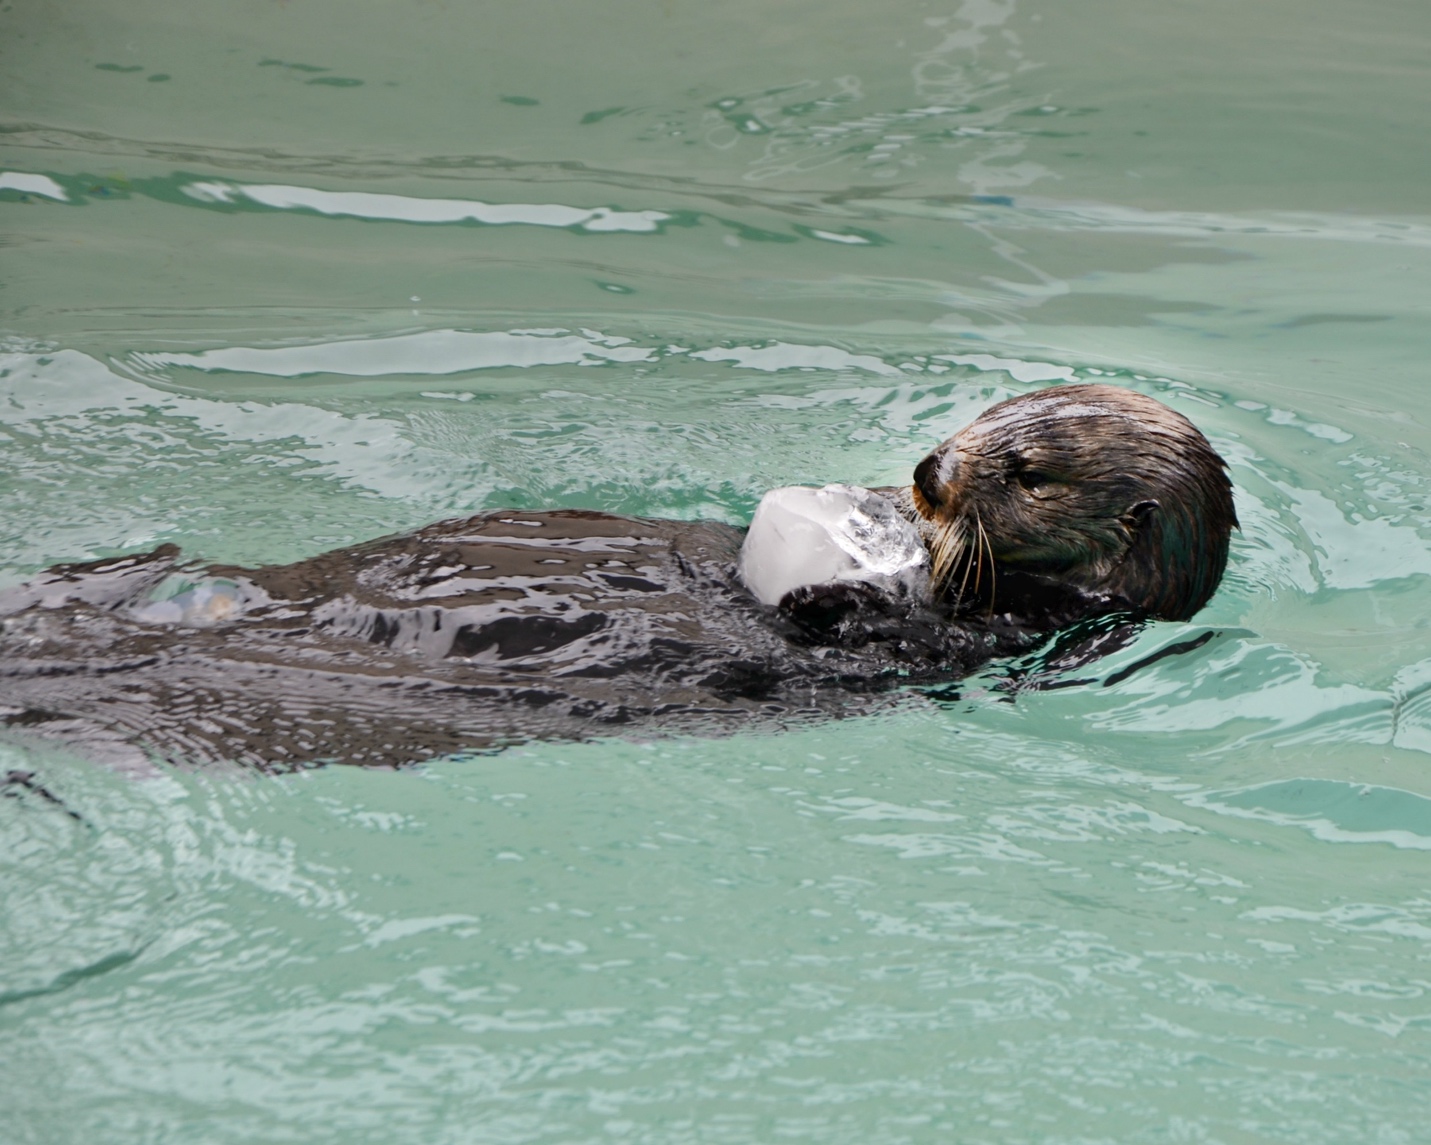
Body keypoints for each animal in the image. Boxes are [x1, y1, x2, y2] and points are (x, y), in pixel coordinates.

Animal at [0, 384, 1235, 771]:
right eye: (979, 416)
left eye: (1027, 471)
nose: (928, 474)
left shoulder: (1030, 631)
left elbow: (903, 635)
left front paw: (824, 590)